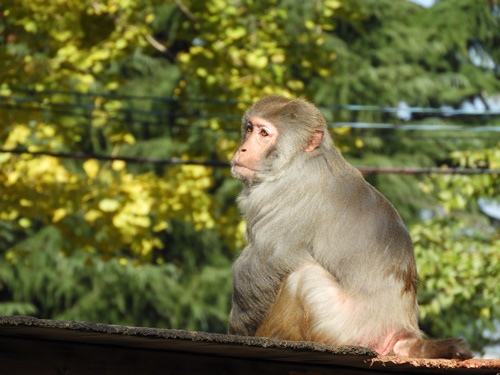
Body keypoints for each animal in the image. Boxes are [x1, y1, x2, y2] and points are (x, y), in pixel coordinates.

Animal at [228, 95, 472, 360]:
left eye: (264, 133)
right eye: (249, 129)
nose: (243, 149)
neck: (301, 159)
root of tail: (403, 330)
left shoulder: (279, 194)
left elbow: (265, 261)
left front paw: (239, 330)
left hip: (341, 325)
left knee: (303, 277)